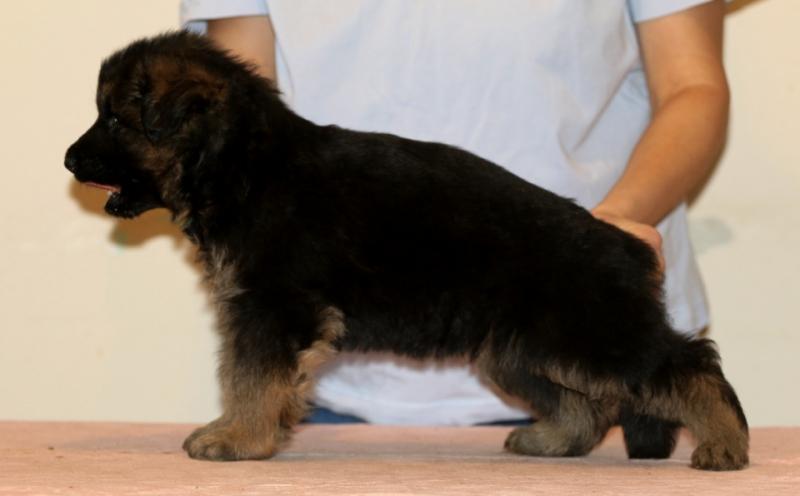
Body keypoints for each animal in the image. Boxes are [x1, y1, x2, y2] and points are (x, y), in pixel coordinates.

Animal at [65, 32, 748, 470]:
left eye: (116, 120)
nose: (69, 161)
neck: (243, 164)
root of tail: (621, 244)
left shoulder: (272, 310)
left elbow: (253, 379)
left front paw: (240, 439)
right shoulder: (259, 313)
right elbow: (243, 375)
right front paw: (237, 430)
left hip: (590, 332)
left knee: (690, 365)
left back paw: (725, 445)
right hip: (523, 349)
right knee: (589, 404)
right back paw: (552, 442)